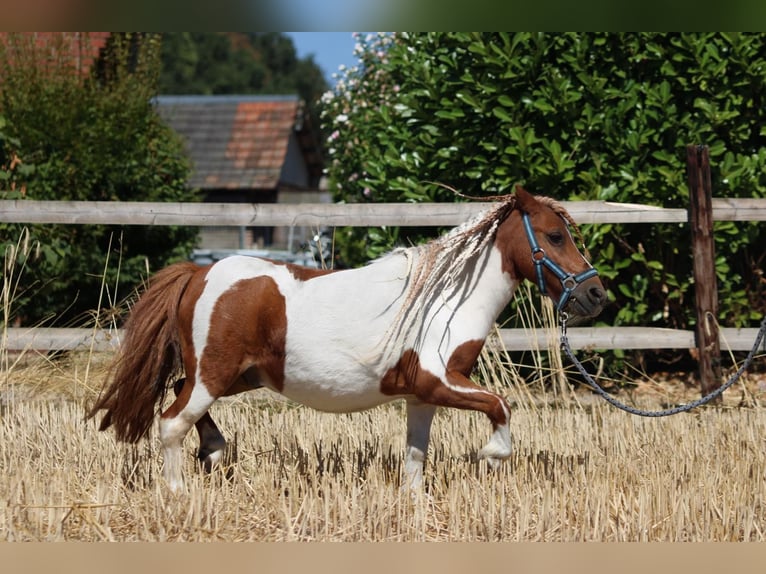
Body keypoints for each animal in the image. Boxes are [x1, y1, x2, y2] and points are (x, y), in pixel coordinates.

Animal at [88, 186, 606, 492]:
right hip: (214, 375)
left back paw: (214, 450)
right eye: (554, 236)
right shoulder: (440, 380)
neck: (446, 299)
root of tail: (199, 273)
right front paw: (491, 457)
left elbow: (416, 454)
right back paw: (178, 493)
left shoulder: (422, 395)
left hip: (237, 376)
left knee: (180, 399)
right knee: (171, 422)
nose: (596, 294)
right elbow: (501, 405)